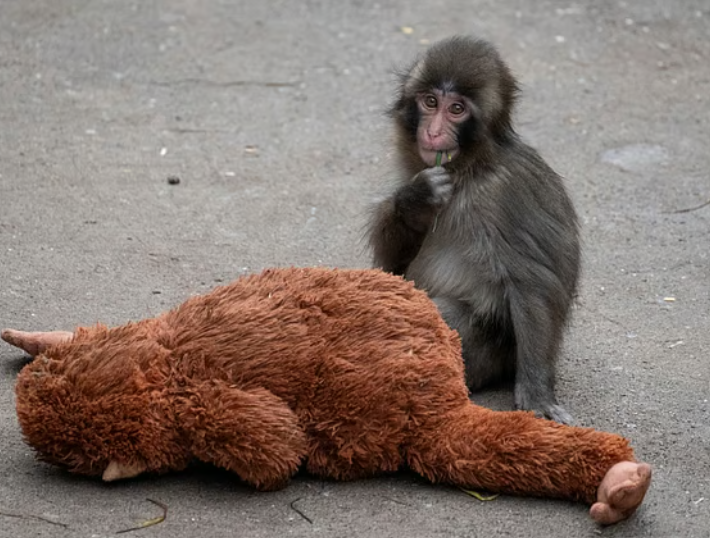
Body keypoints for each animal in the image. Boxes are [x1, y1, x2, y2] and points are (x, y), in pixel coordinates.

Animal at [367, 36, 580, 424]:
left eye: (456, 109)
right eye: (430, 102)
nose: (434, 132)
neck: (470, 170)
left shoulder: (504, 194)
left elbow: (533, 284)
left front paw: (537, 395)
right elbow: (393, 268)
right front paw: (416, 200)